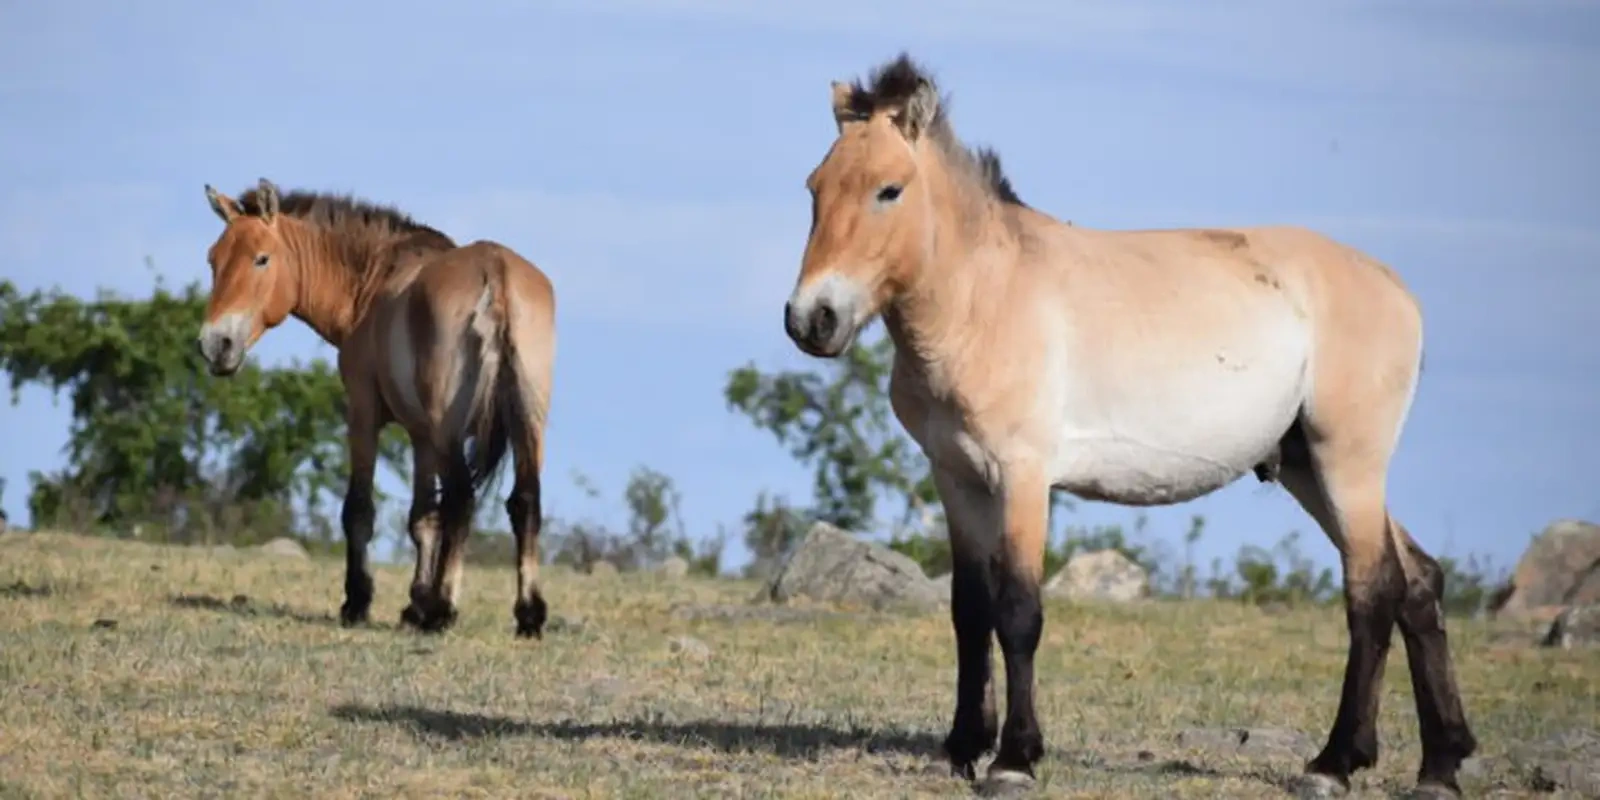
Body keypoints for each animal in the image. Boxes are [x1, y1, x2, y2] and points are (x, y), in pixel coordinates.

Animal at [196, 179, 556, 639]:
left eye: (262, 258)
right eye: (214, 259)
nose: (215, 345)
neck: (373, 279)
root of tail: (495, 273)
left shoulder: (364, 414)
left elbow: (361, 510)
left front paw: (359, 601)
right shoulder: (421, 438)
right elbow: (423, 518)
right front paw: (414, 604)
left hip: (450, 431)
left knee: (462, 498)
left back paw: (444, 609)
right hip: (527, 426)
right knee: (524, 501)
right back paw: (528, 614)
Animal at [782, 54, 1477, 797]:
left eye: (889, 190)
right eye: (815, 187)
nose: (812, 320)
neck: (984, 299)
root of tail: (1397, 290)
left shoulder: (1023, 476)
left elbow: (1018, 612)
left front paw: (1014, 759)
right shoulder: (956, 477)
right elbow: (969, 612)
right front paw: (963, 748)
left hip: (1348, 462)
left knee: (1372, 592)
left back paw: (1334, 764)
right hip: (1304, 469)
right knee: (1419, 582)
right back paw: (1439, 764)